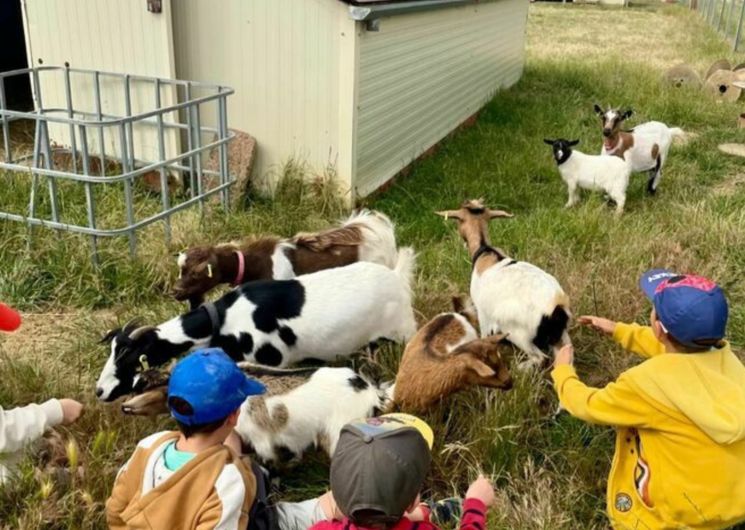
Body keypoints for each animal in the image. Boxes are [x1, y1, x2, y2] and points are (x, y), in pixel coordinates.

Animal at [95, 252, 416, 400]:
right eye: (111, 351)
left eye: (129, 357)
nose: (99, 391)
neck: (222, 321)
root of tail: (396, 275)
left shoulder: (272, 361)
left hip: (404, 331)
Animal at [436, 198, 568, 368]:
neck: (485, 251)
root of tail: (555, 308)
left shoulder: (483, 313)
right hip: (560, 337)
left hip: (517, 332)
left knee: (541, 358)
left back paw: (520, 368)